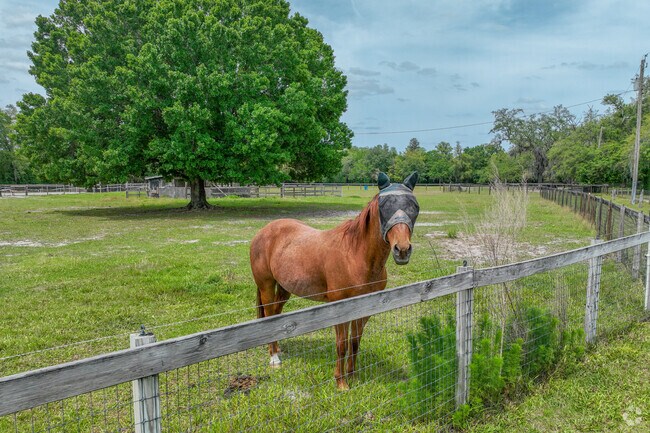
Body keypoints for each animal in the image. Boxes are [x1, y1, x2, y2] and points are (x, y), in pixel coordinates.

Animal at [249, 172, 420, 390]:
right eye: (383, 206)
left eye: (414, 206)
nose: (403, 250)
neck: (355, 255)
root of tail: (263, 231)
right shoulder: (340, 308)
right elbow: (342, 345)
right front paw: (341, 383)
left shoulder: (364, 309)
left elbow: (355, 342)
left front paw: (353, 377)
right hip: (267, 286)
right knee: (270, 315)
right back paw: (274, 358)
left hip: (284, 288)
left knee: (277, 314)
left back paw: (278, 350)